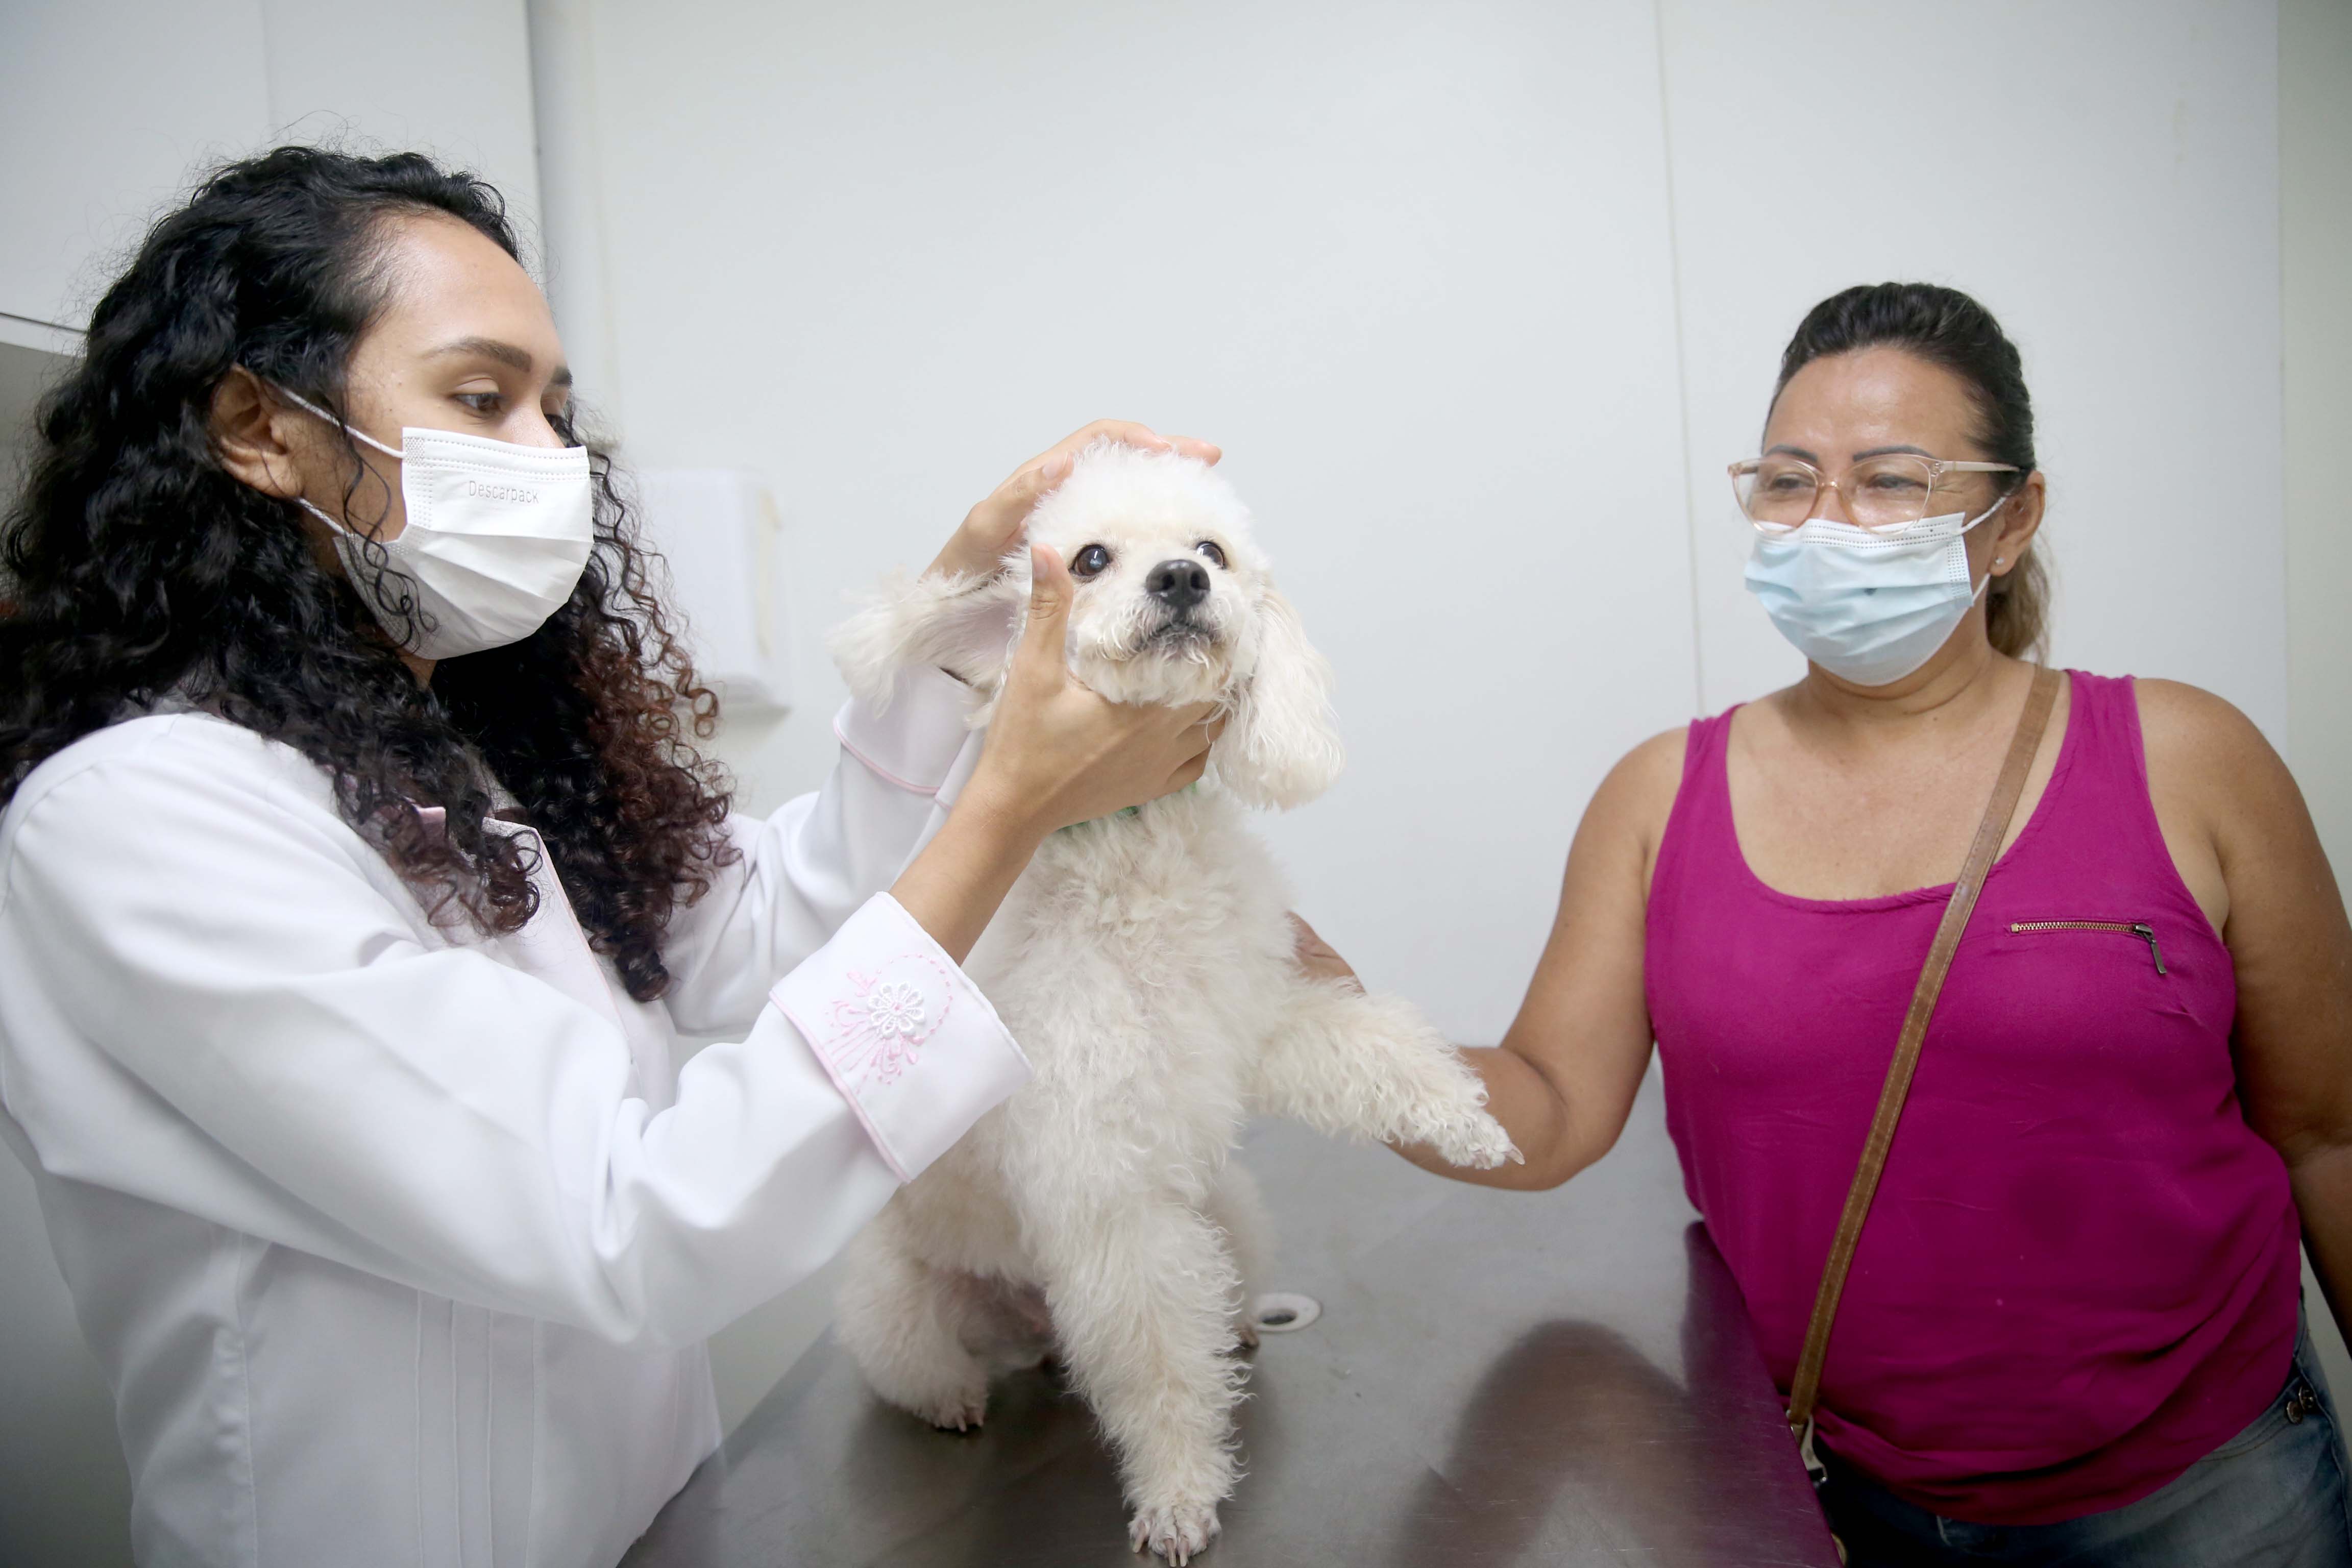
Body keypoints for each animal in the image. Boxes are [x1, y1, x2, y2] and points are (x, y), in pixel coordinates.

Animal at [837, 442, 1514, 1561]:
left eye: (1213, 550)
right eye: (1091, 559)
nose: (1182, 580)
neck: (1137, 851)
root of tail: (1027, 1325)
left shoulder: (1254, 1017)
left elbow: (1373, 1048)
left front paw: (1466, 1124)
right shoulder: (1111, 1191)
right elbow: (1156, 1361)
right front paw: (1178, 1490)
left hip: (1225, 1212)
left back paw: (1230, 1326)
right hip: (897, 1303)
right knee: (930, 1366)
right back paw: (956, 1401)